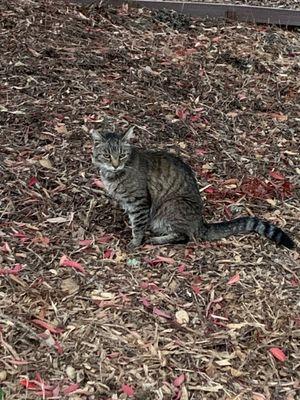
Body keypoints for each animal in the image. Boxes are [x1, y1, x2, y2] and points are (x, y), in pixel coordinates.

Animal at [91, 126, 296, 252]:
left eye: (122, 155)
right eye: (107, 155)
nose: (116, 165)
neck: (114, 175)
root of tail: (200, 222)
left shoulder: (139, 202)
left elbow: (139, 225)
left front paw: (135, 241)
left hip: (171, 205)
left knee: (184, 236)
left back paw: (157, 239)